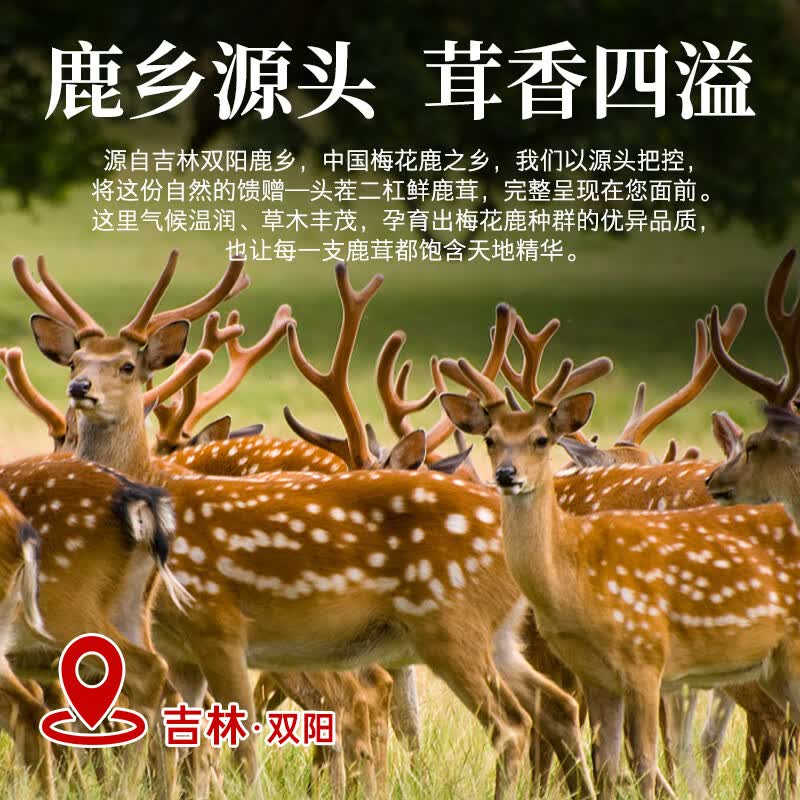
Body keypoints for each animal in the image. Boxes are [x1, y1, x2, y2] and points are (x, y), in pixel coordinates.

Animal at [14, 251, 602, 800]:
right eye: (75, 359)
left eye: (128, 366)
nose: (80, 388)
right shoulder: (177, 644)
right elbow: (187, 740)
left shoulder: (220, 624)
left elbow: (236, 739)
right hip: (492, 635)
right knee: (552, 703)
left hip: (447, 627)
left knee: (496, 722)